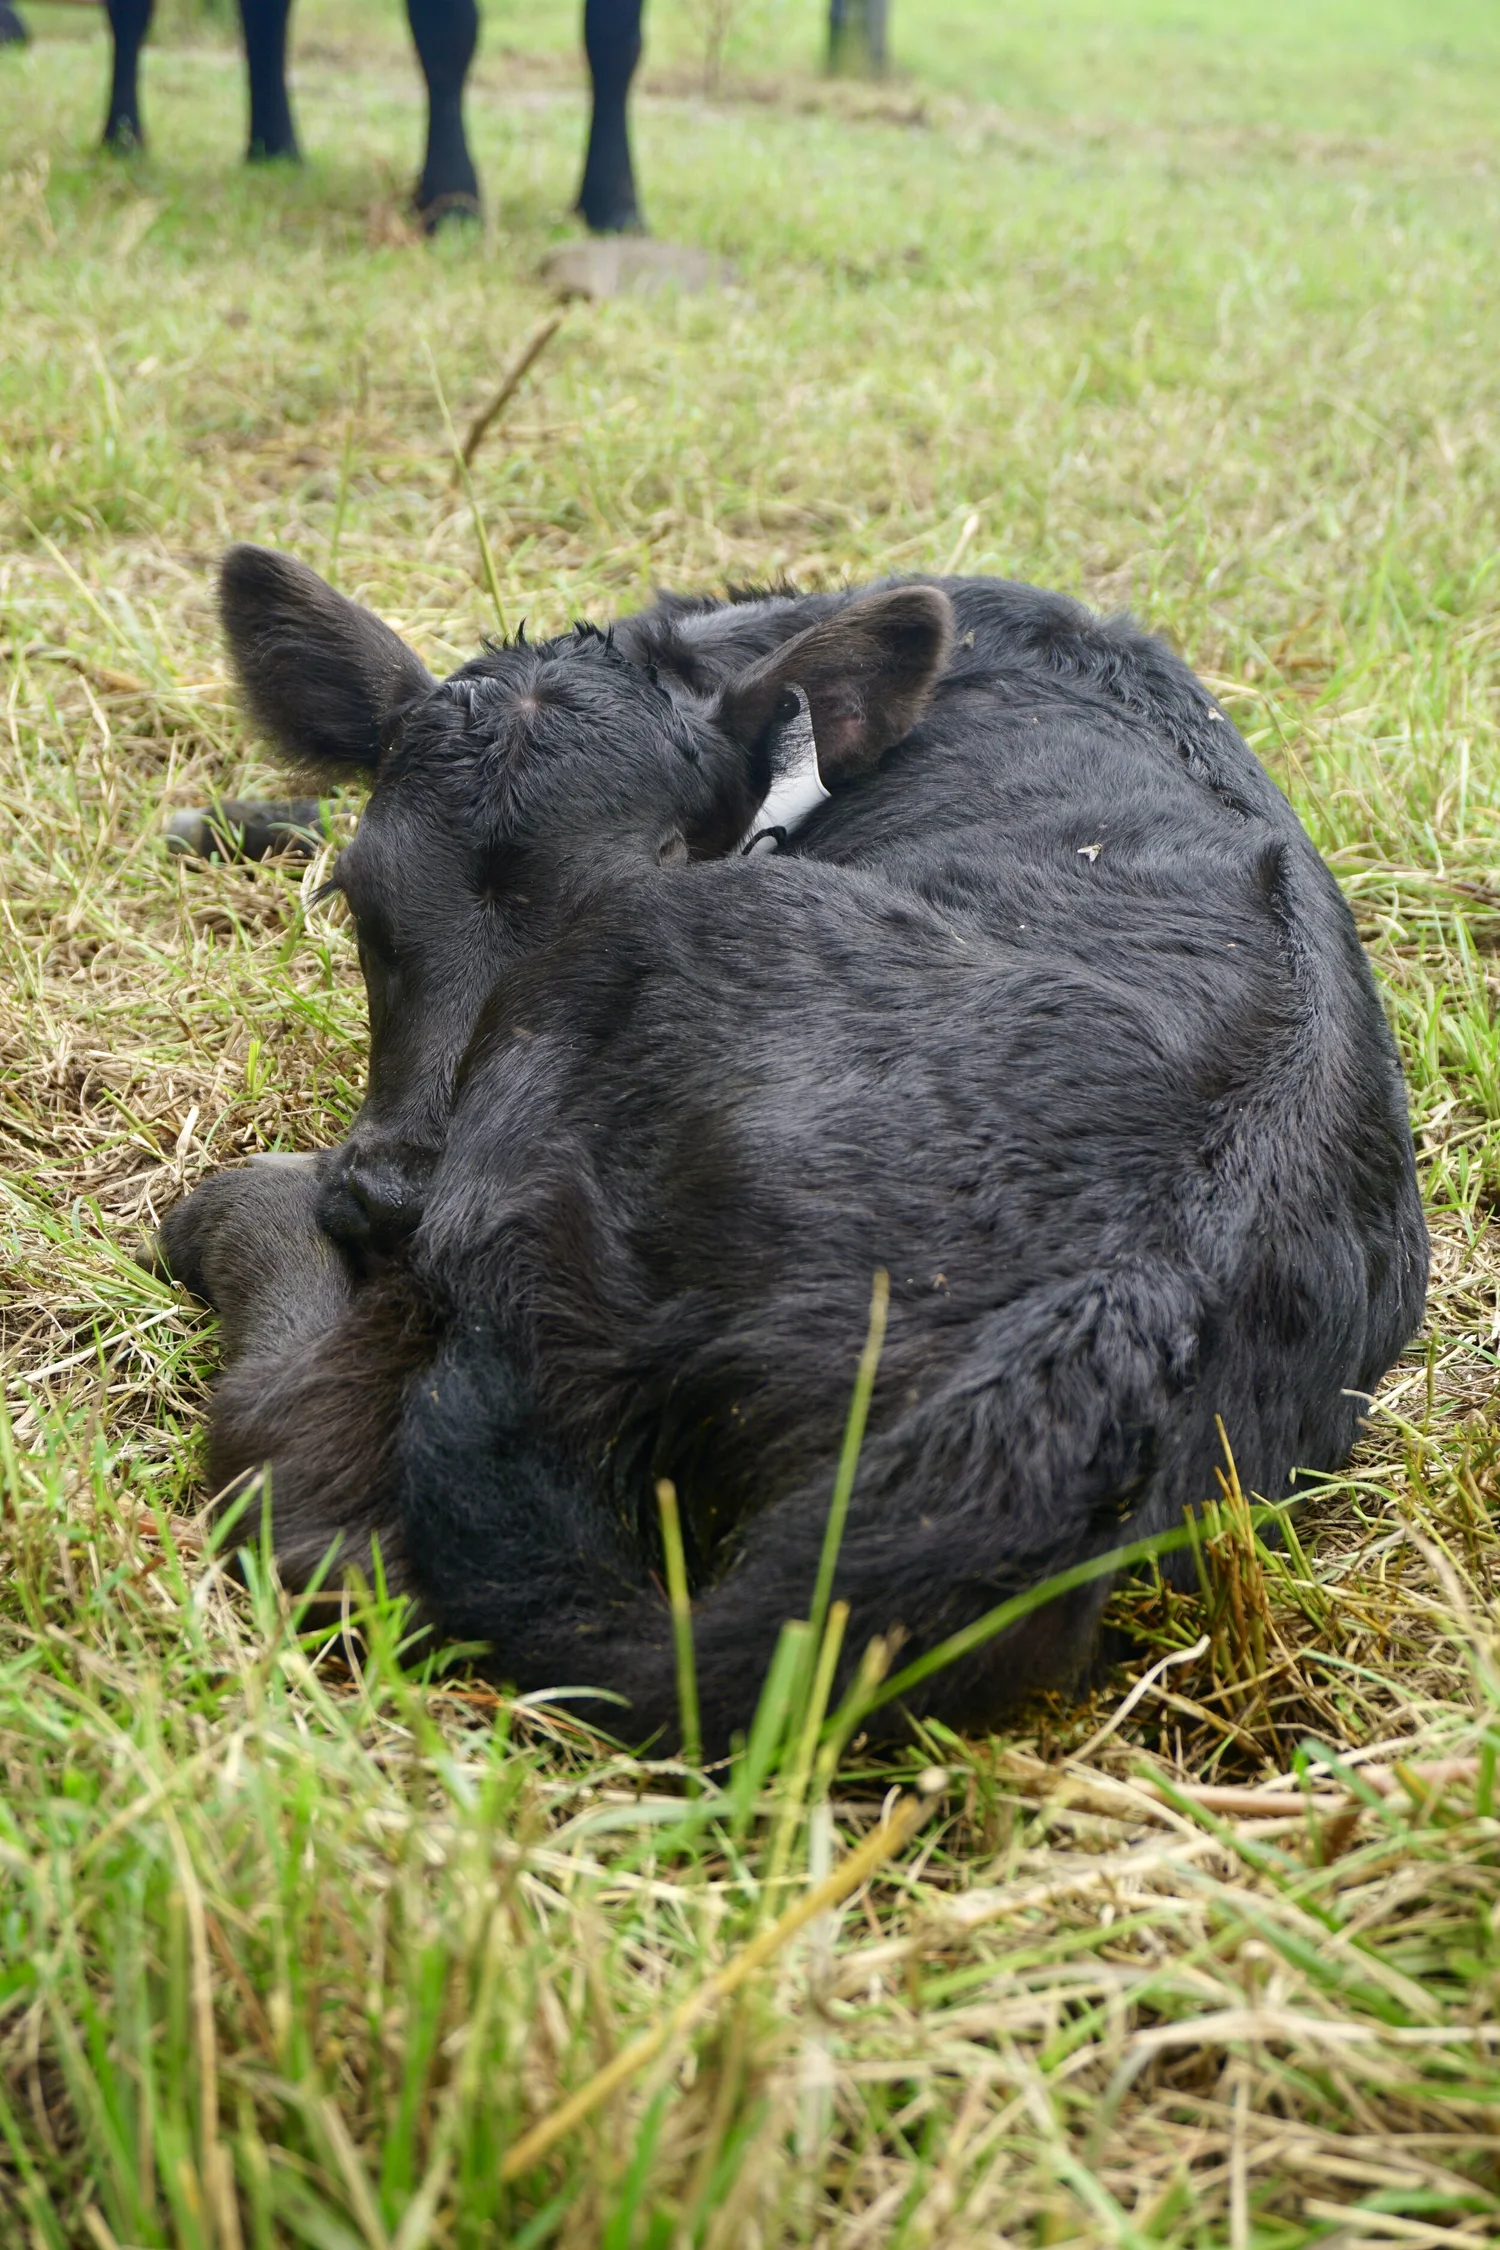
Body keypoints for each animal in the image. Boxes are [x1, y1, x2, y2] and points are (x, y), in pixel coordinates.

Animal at [159, 546, 1428, 1752]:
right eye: (360, 896)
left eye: (655, 861)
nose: (388, 1197)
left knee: (327, 1515)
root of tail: (1111, 1311)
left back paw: (238, 1216)